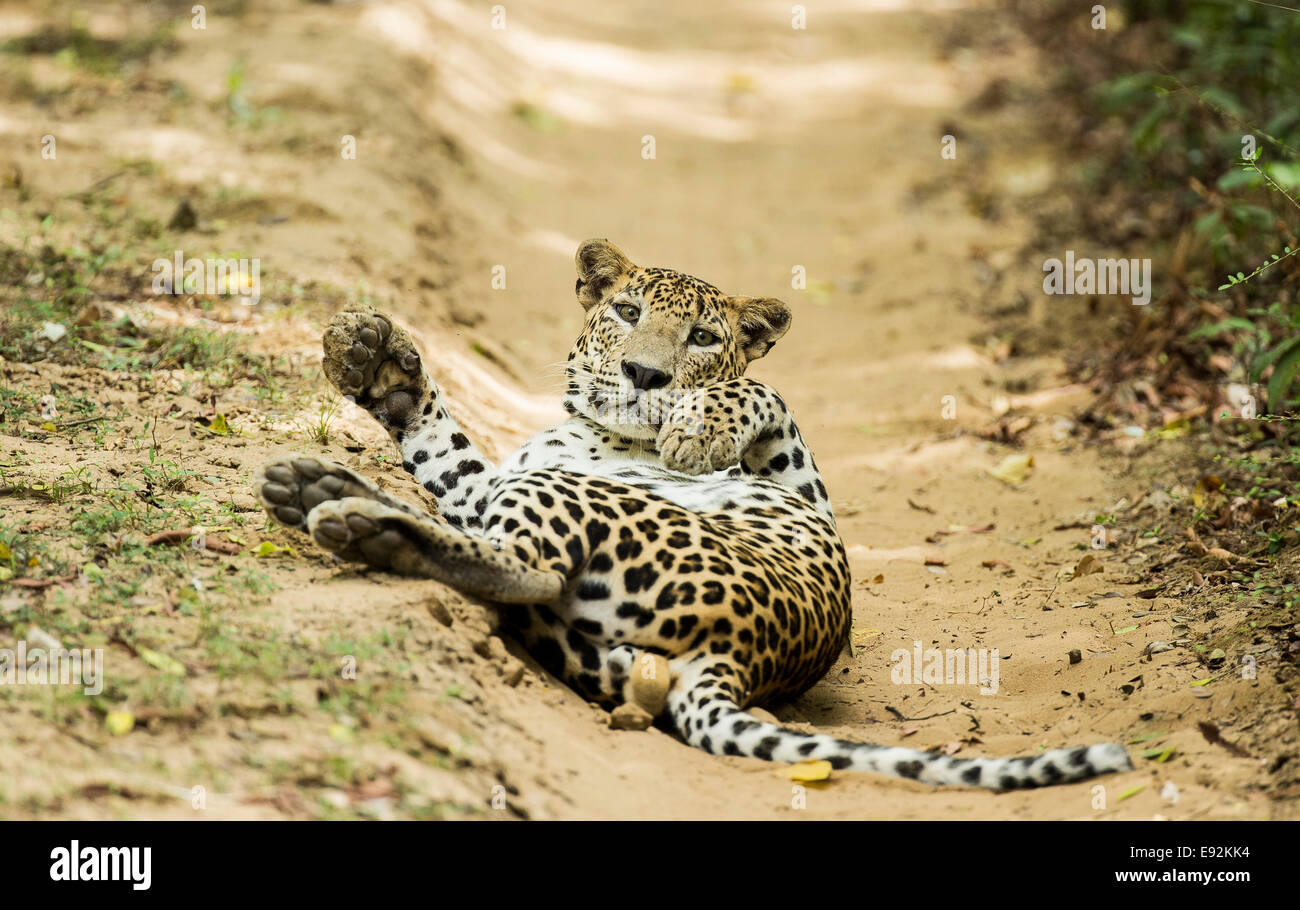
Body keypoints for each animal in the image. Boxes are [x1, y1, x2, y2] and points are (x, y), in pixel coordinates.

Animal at [253, 241, 1128, 790]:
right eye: (627, 312)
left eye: (705, 335)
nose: (647, 374)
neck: (604, 431)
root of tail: (738, 659)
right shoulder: (486, 479)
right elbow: (443, 446)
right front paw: (374, 358)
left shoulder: (806, 496)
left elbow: (761, 389)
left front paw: (697, 427)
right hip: (583, 612)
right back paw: (318, 487)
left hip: (577, 508)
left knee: (527, 569)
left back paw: (350, 519)